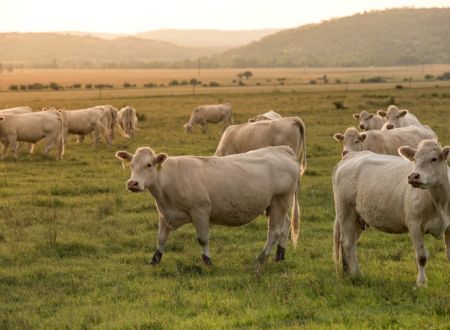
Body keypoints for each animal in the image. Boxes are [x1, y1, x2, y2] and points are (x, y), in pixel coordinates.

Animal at [116, 146, 300, 266]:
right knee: (285, 226)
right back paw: (280, 255)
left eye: (149, 165)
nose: (133, 183)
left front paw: (207, 260)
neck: (169, 179)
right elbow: (161, 238)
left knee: (274, 231)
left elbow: (203, 238)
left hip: (280, 200)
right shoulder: (165, 213)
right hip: (276, 205)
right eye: (131, 165)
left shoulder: (200, 211)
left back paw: (261, 258)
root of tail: (282, 150)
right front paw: (155, 259)